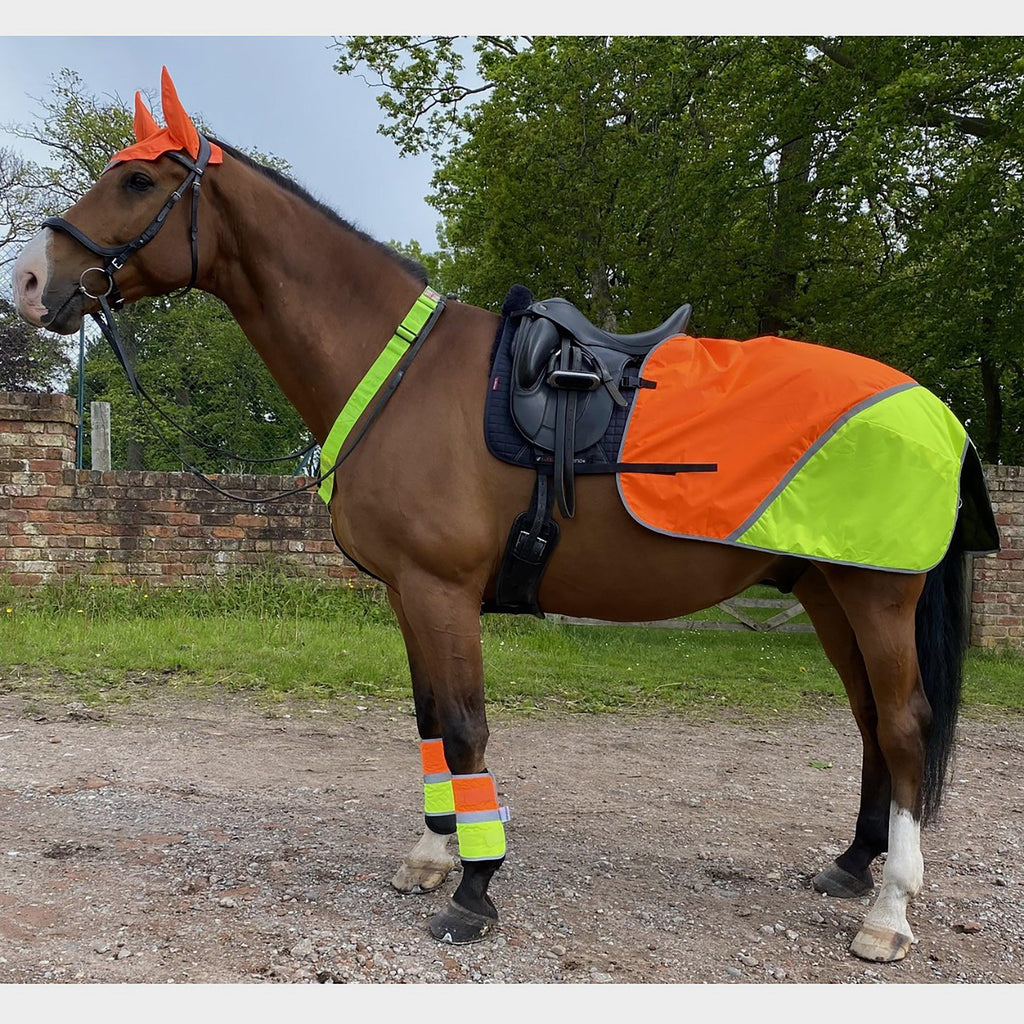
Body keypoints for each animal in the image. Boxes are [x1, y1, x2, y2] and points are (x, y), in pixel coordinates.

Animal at [12, 69, 998, 963]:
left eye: (139, 182)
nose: (26, 280)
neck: (400, 374)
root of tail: (934, 411)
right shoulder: (409, 594)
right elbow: (427, 722)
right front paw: (430, 856)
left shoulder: (442, 590)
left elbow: (465, 726)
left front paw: (476, 892)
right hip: (828, 591)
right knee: (870, 721)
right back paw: (852, 864)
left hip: (875, 596)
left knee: (904, 726)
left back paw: (888, 913)